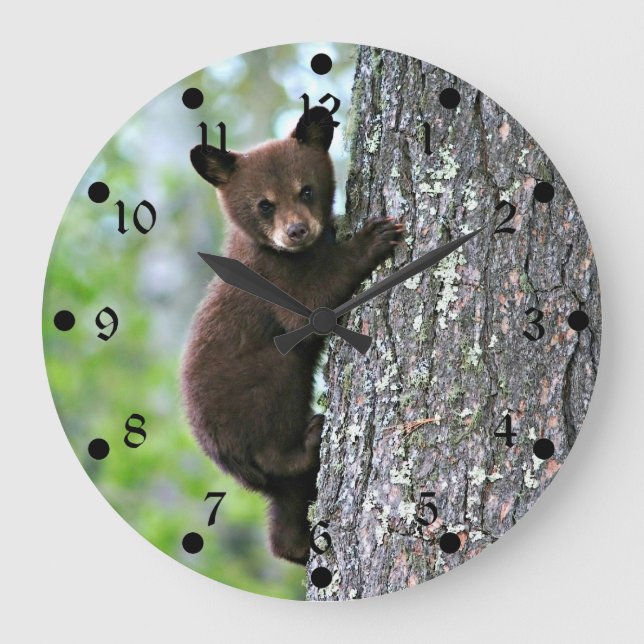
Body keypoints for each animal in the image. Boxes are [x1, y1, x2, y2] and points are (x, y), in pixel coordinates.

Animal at [180, 106, 402, 565]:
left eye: (306, 190)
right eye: (264, 204)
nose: (296, 231)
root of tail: (226, 460)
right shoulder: (273, 280)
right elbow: (311, 305)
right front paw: (373, 237)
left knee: (285, 510)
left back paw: (297, 545)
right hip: (257, 386)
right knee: (275, 437)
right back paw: (310, 439)